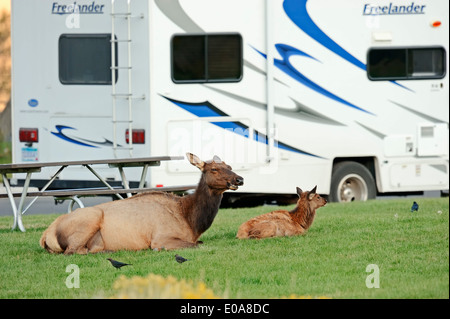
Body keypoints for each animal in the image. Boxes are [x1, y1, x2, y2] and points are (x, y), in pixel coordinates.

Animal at [39, 154, 243, 256]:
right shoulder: (161, 237)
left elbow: (199, 243)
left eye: (230, 167)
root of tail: (46, 234)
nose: (239, 179)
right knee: (72, 251)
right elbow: (197, 245)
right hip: (90, 218)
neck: (191, 221)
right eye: (214, 169)